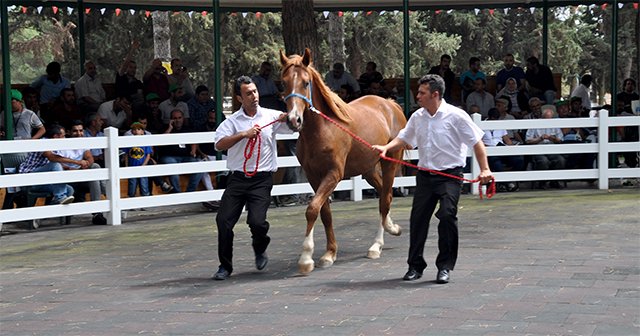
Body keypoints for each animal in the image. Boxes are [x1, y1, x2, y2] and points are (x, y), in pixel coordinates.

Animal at [278, 49, 404, 276]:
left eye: (306, 82)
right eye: (284, 83)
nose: (293, 120)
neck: (322, 129)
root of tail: (390, 104)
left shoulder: (333, 174)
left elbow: (312, 209)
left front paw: (306, 258)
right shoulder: (314, 177)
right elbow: (324, 213)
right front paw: (330, 253)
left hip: (390, 162)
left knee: (385, 199)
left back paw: (376, 245)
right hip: (368, 170)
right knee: (384, 194)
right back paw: (392, 228)